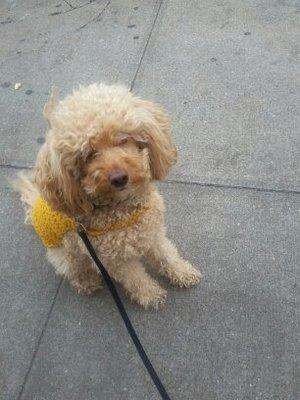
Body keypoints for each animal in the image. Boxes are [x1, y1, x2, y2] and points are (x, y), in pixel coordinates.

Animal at [14, 83, 202, 310]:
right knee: (74, 269)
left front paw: (182, 272)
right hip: (67, 254)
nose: (119, 178)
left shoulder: (153, 233)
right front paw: (150, 295)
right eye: (87, 155)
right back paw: (87, 282)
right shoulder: (112, 260)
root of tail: (34, 208)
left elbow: (167, 255)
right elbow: (135, 279)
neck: (123, 208)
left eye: (122, 139)